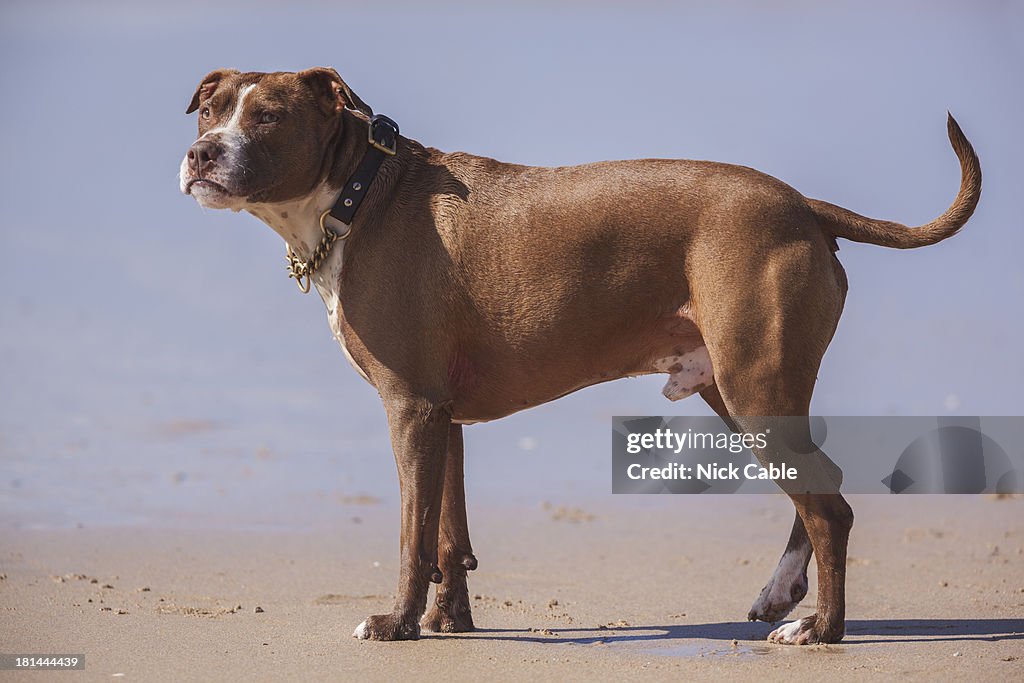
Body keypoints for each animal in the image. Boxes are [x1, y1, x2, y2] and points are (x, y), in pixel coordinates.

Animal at [178, 66, 983, 643]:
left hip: (755, 385)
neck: (357, 192)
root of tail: (803, 205)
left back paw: (822, 629)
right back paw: (781, 595)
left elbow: (412, 531)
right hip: (743, 387)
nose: (199, 152)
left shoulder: (409, 408)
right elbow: (448, 529)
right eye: (212, 111)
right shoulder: (441, 415)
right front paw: (447, 620)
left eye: (267, 116)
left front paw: (398, 624)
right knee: (816, 489)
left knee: (828, 506)